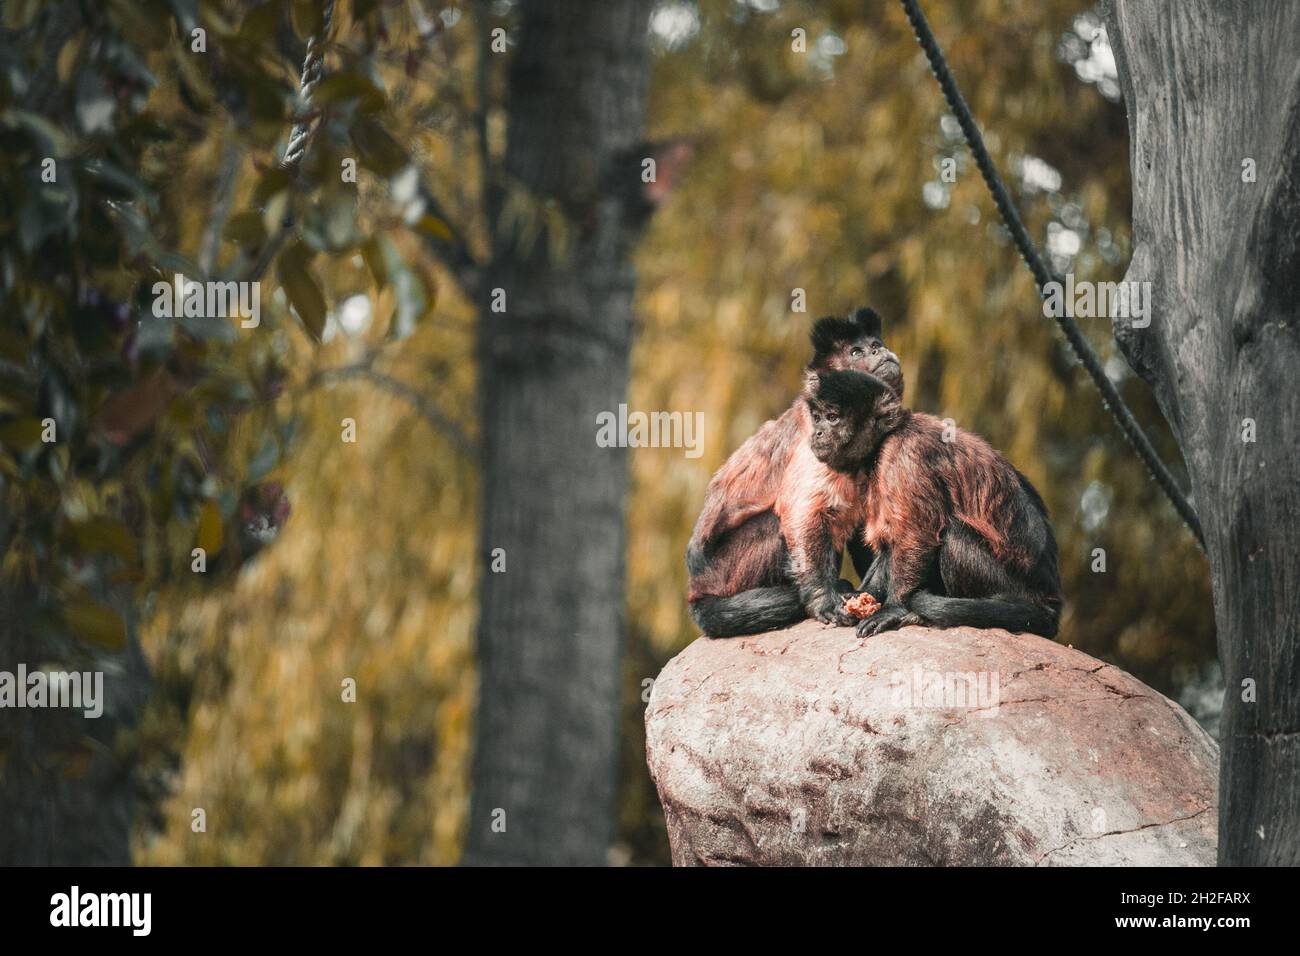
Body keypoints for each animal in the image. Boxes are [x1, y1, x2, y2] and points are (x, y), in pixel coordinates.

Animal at [686, 308, 904, 638]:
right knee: (782, 523)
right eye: (857, 352)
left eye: (876, 343)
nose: (879, 351)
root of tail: (697, 589)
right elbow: (802, 511)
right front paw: (823, 599)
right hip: (726, 573)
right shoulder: (813, 437)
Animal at [806, 369, 1062, 638]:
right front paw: (855, 598)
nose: (817, 432)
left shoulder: (904, 455)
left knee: (953, 534)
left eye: (832, 418)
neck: (885, 439)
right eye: (817, 418)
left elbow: (917, 535)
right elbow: (890, 544)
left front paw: (893, 608)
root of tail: (1050, 603)